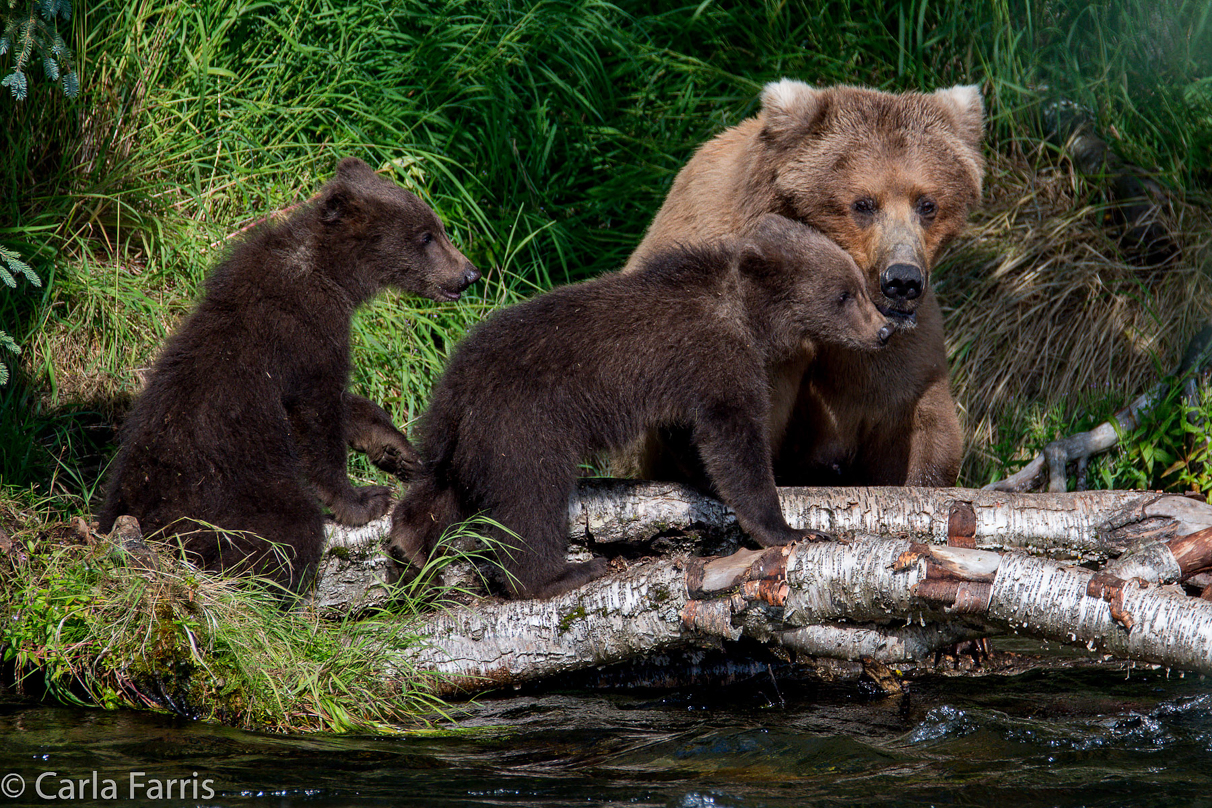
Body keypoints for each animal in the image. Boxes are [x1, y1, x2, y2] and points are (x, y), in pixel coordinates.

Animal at [98, 159, 477, 593]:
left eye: (438, 228)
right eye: (426, 236)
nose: (469, 274)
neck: (331, 276)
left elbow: (345, 405)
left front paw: (396, 449)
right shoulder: (306, 333)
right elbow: (316, 417)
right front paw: (364, 499)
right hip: (224, 493)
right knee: (288, 530)